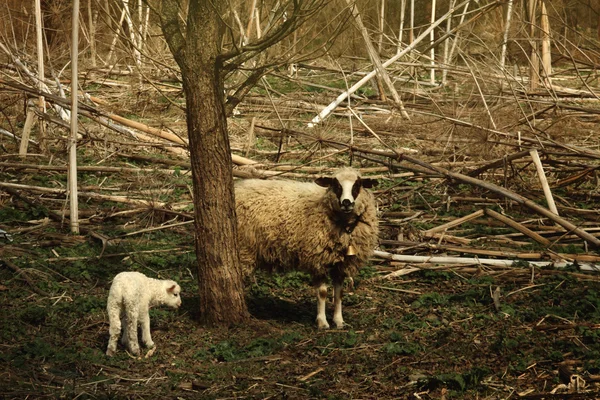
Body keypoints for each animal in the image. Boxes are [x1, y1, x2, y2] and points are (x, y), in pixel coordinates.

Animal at [237, 167, 378, 330]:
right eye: (336, 185)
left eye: (357, 185)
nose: (346, 203)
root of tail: (237, 186)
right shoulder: (319, 259)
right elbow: (322, 293)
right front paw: (322, 322)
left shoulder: (341, 264)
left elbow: (339, 293)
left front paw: (339, 321)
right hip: (244, 250)